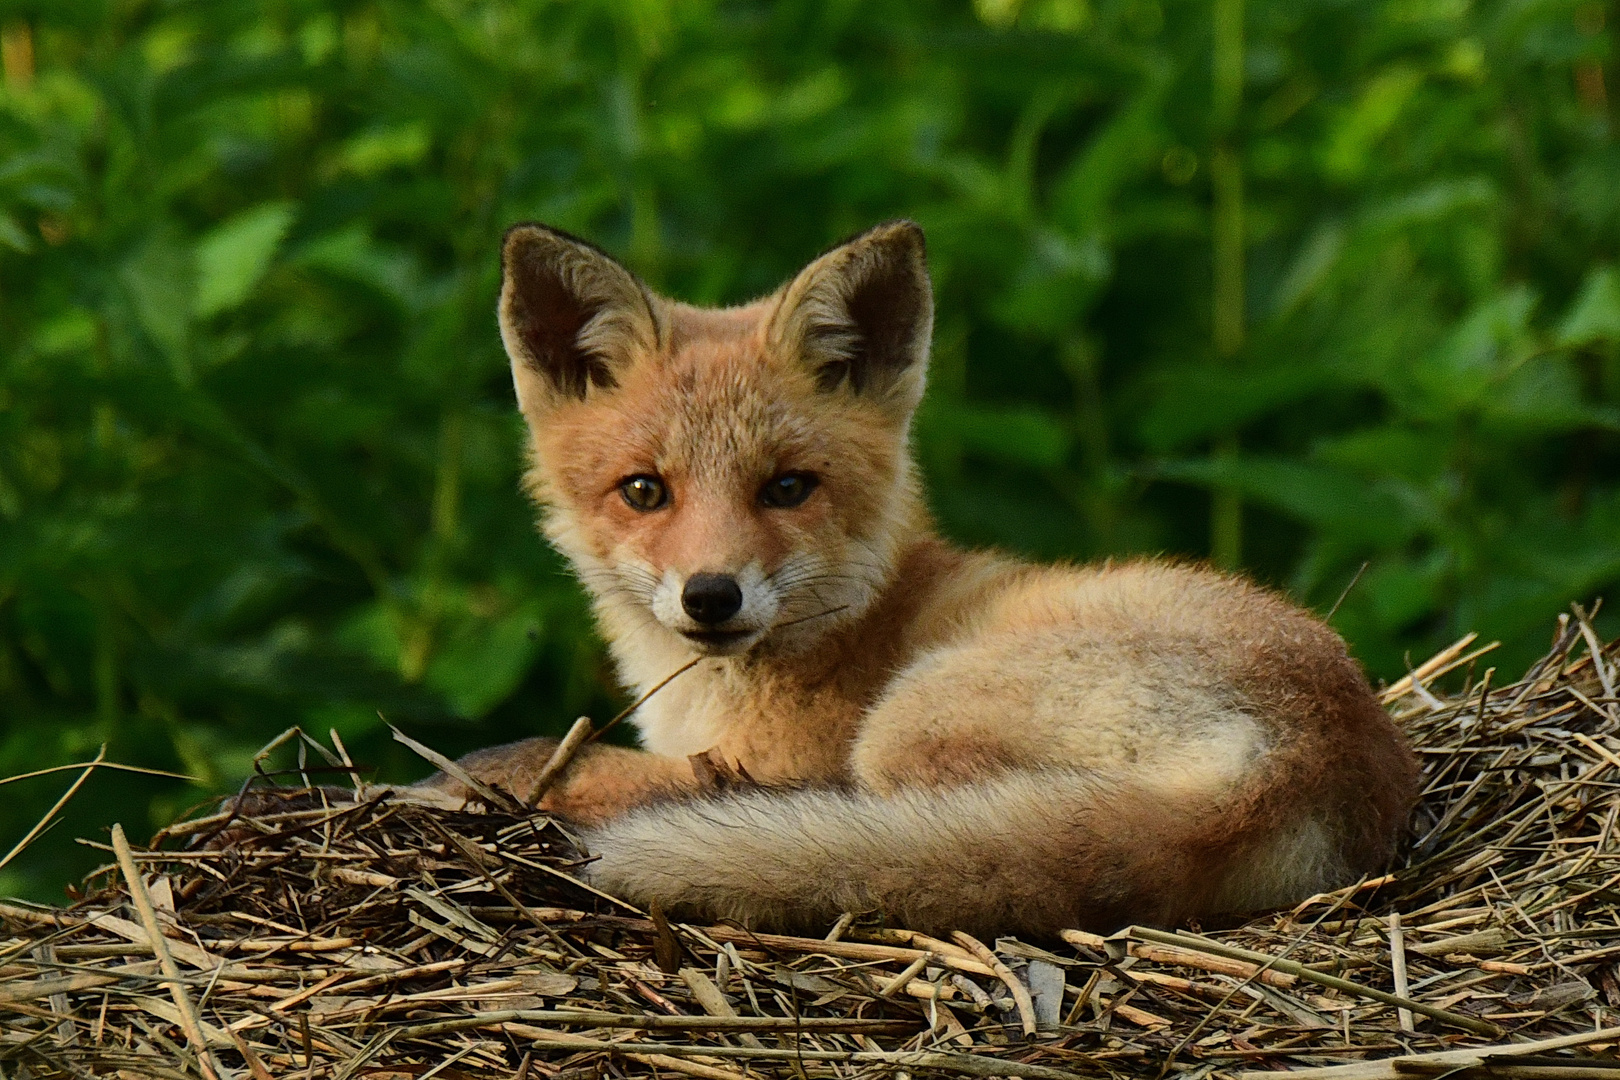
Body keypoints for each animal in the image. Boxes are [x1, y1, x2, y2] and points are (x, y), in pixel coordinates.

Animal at [414, 220, 1419, 939]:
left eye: (787, 488)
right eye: (643, 491)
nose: (711, 596)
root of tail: (1300, 768)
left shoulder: (783, 756)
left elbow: (550, 762)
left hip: (905, 729)